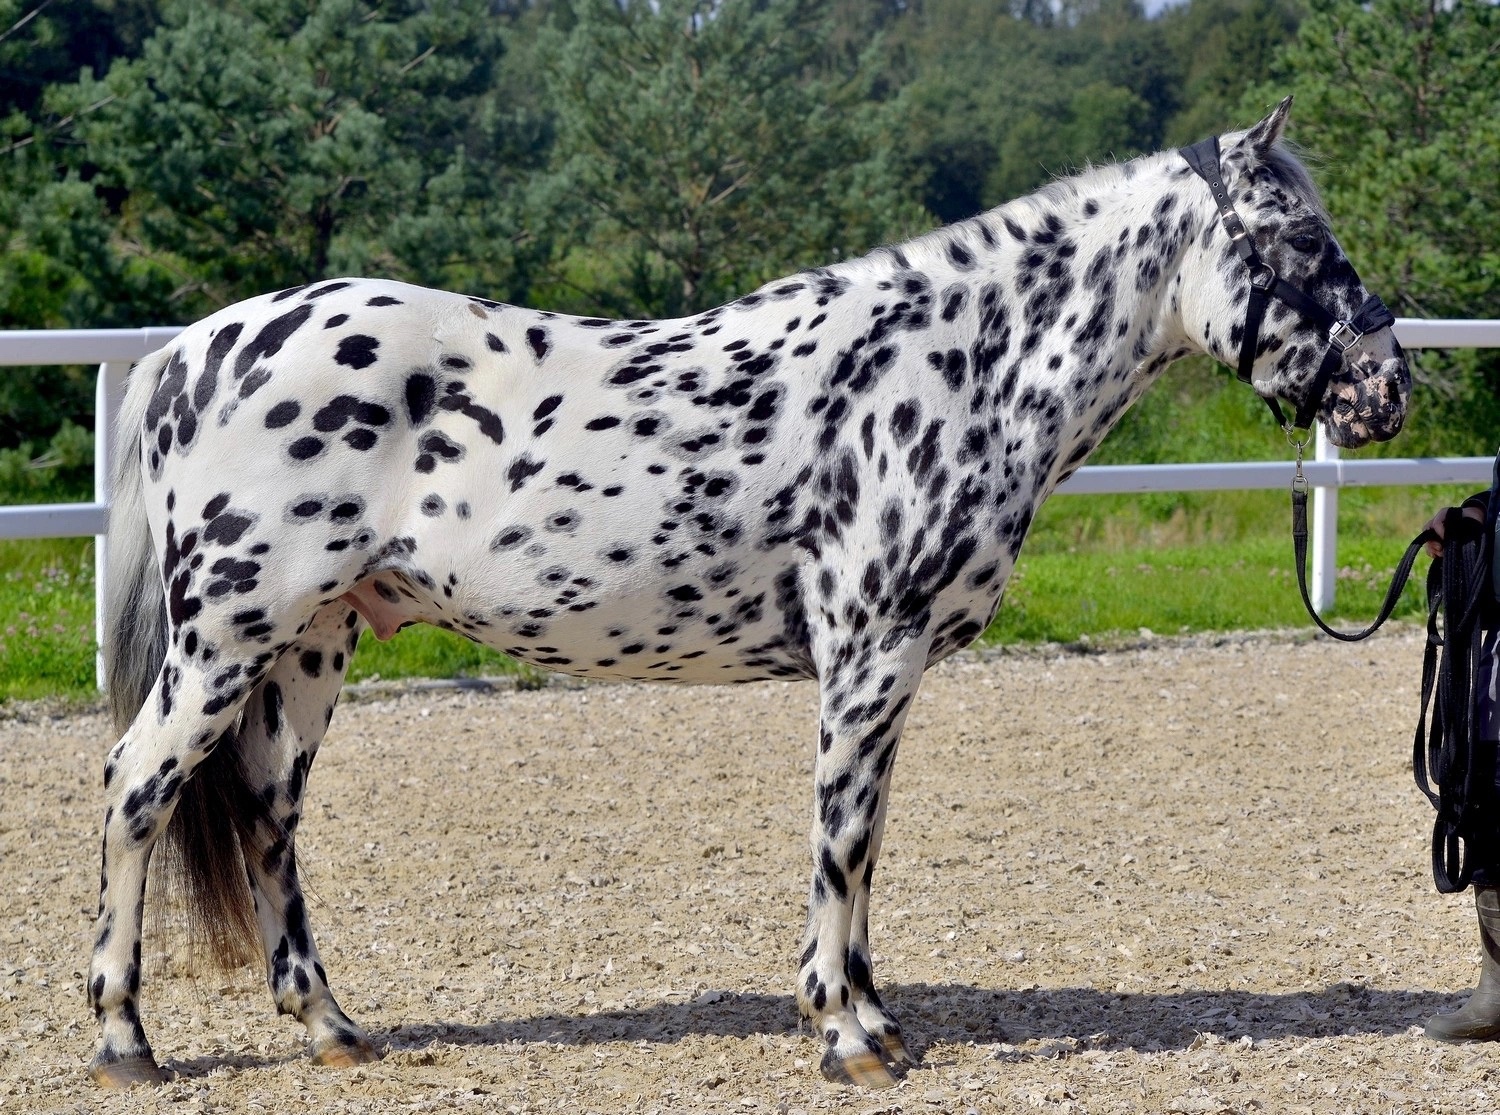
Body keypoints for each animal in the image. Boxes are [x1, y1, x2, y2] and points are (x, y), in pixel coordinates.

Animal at [87, 97, 1409, 1089]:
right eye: (1299, 240)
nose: (1387, 387)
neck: (947, 372)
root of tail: (194, 346)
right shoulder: (870, 653)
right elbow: (844, 837)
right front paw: (847, 1034)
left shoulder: (886, 667)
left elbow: (864, 840)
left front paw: (868, 1016)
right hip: (227, 638)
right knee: (138, 789)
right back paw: (124, 1039)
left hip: (313, 644)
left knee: (269, 813)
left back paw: (334, 1027)